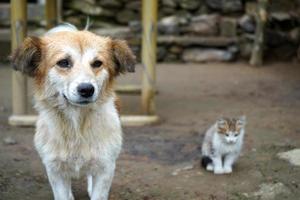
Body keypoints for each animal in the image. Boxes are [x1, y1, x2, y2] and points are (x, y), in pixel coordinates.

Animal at [10, 23, 135, 200]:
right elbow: (62, 193)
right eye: (63, 62)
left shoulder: (106, 167)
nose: (87, 89)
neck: (77, 125)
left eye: (97, 63)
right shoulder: (54, 170)